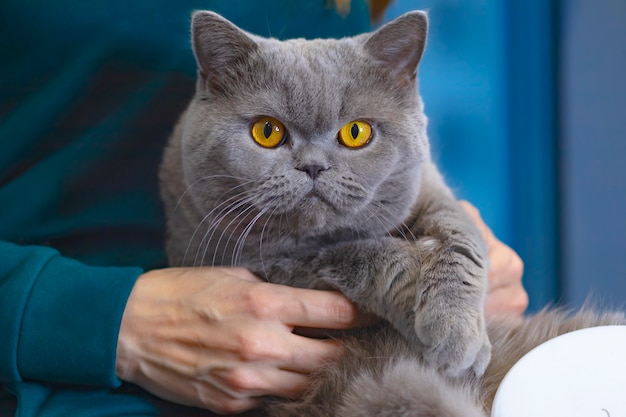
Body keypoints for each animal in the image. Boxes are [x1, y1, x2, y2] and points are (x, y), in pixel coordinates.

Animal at [157, 10, 624, 416]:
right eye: (267, 132)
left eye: (356, 132)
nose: (313, 166)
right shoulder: (261, 260)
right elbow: (362, 254)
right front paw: (421, 304)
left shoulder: (429, 187)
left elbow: (461, 241)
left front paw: (457, 332)